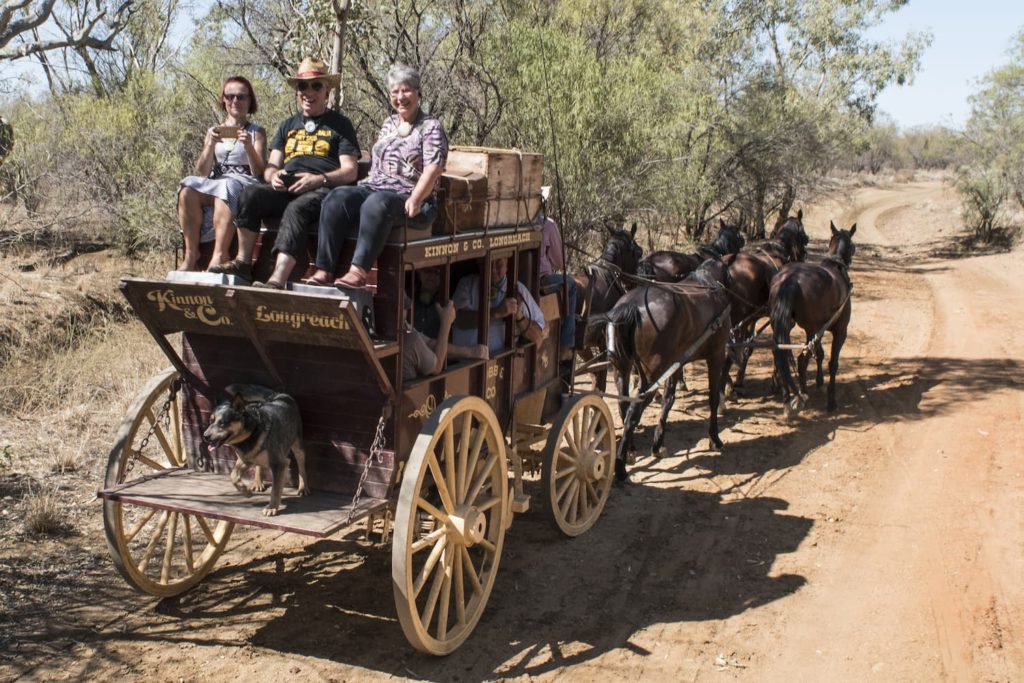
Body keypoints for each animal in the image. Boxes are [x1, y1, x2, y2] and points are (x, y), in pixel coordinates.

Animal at [589, 258, 733, 481]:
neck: (708, 285)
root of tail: (630, 306)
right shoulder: (716, 356)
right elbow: (713, 398)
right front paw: (715, 439)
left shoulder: (676, 363)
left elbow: (668, 400)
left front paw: (658, 445)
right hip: (652, 375)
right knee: (633, 411)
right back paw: (620, 467)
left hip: (623, 368)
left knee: (624, 405)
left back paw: (629, 450)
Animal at [720, 208, 806, 389]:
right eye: (804, 236)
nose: (803, 256)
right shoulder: (783, 321)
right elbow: (778, 345)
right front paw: (777, 380)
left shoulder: (751, 319)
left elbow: (748, 347)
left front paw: (739, 378)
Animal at [770, 223, 851, 417]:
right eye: (853, 246)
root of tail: (791, 279)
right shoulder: (839, 331)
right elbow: (832, 363)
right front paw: (831, 400)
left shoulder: (819, 331)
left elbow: (819, 354)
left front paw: (820, 381)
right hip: (811, 329)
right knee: (801, 359)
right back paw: (802, 393)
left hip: (783, 325)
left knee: (779, 354)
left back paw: (786, 396)